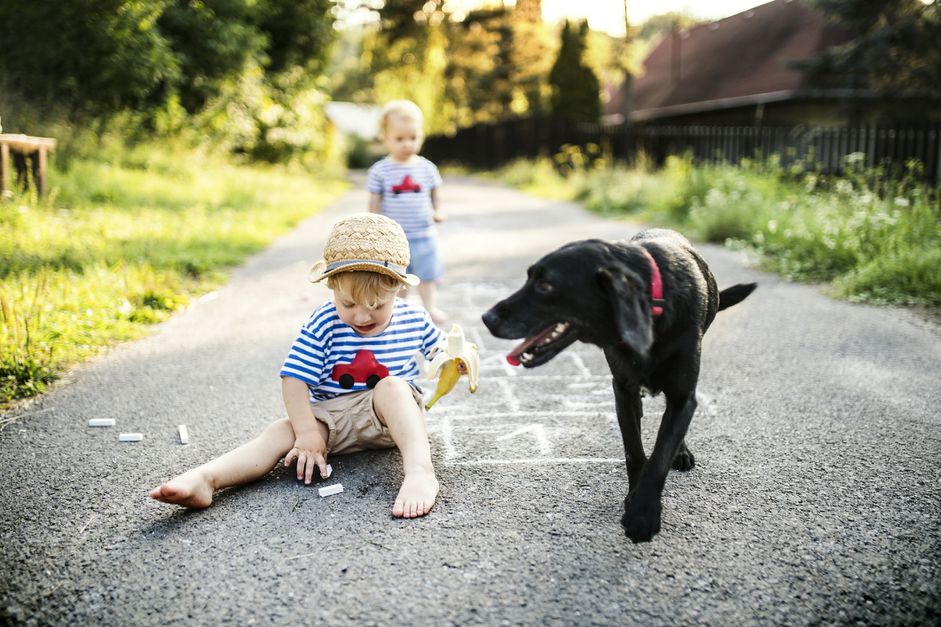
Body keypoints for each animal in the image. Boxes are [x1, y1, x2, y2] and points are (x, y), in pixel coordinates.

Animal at [484, 228, 756, 544]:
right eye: (529, 277)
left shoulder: (682, 395)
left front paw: (644, 513)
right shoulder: (623, 392)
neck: (650, 308)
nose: (487, 318)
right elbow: (634, 452)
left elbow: (660, 456)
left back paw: (681, 452)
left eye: (545, 284)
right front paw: (635, 499)